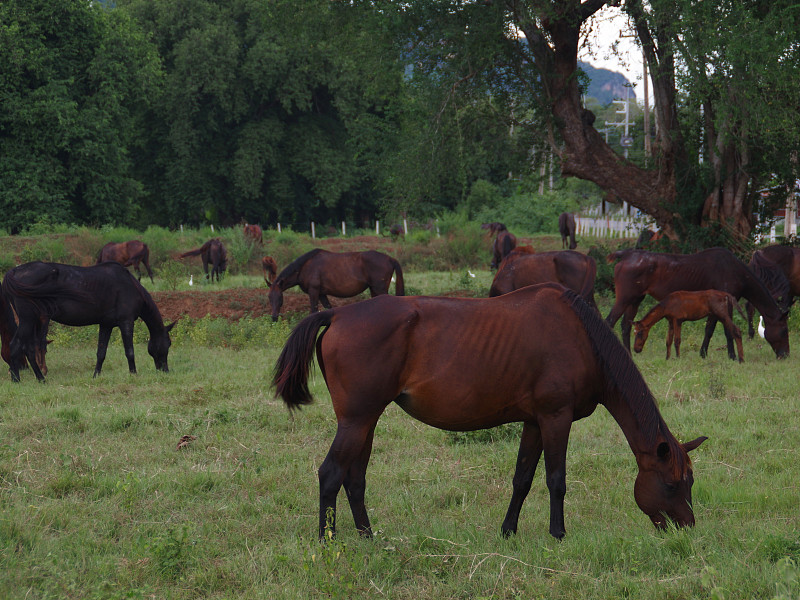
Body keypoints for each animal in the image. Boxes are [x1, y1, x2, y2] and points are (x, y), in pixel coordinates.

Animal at [1, 262, 177, 382]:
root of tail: (14, 271)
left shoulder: (106, 324)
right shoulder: (126, 322)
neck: (131, 286)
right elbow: (129, 351)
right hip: (28, 320)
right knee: (17, 346)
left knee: (29, 348)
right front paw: (133, 374)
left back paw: (34, 378)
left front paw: (96, 375)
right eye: (168, 344)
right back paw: (23, 379)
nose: (165, 370)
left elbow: (101, 352)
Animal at [268, 248, 406, 322]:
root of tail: (390, 259)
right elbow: (328, 308)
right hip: (374, 289)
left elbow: (313, 310)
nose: (274, 317)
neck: (305, 267)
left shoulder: (314, 292)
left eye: (280, 298)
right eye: (269, 298)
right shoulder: (322, 294)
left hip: (380, 289)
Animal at [274, 284, 708, 540]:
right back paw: (327, 541)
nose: (687, 529)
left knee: (354, 478)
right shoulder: (556, 418)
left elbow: (522, 479)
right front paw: (558, 534)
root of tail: (338, 314)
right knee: (331, 474)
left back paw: (367, 536)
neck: (583, 338)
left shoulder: (534, 422)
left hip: (367, 421)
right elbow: (556, 480)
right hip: (356, 421)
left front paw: (508, 531)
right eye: (673, 485)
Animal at [608, 247, 788, 356]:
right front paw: (730, 355)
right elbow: (725, 330)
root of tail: (627, 255)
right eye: (784, 331)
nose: (785, 354)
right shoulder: (724, 305)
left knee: (625, 325)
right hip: (624, 299)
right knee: (610, 321)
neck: (735, 272)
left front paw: (704, 353)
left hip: (635, 300)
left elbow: (710, 329)